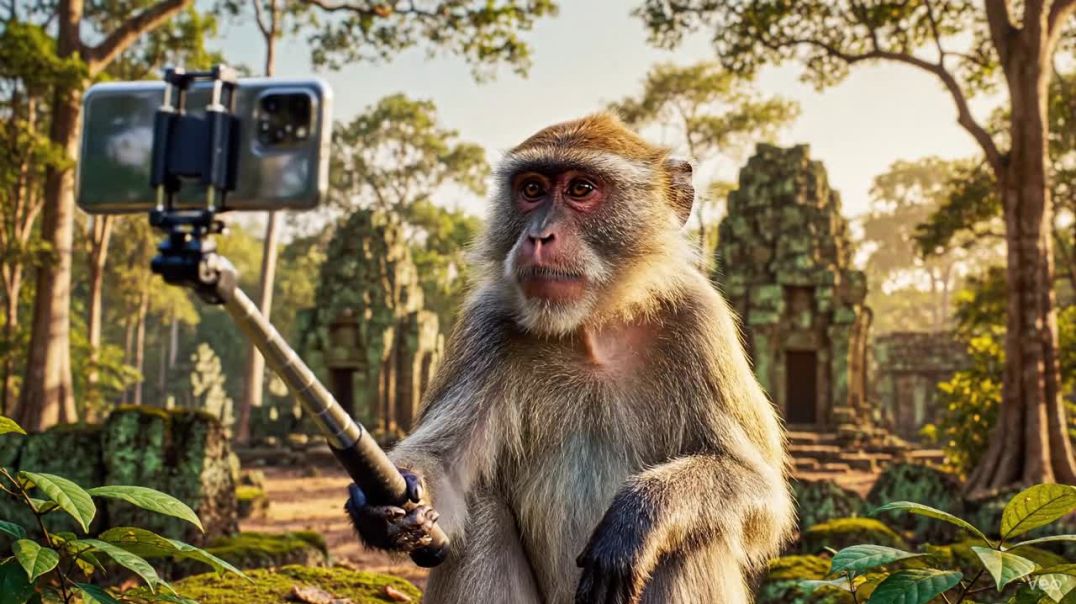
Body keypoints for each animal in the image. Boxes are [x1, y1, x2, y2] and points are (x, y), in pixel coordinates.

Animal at [345, 113, 794, 604]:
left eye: (581, 188)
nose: (538, 236)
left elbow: (762, 495)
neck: (590, 330)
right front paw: (383, 505)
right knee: (481, 508)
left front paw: (641, 514)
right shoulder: (486, 327)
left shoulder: (700, 323)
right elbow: (444, 471)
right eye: (532, 189)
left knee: (694, 538)